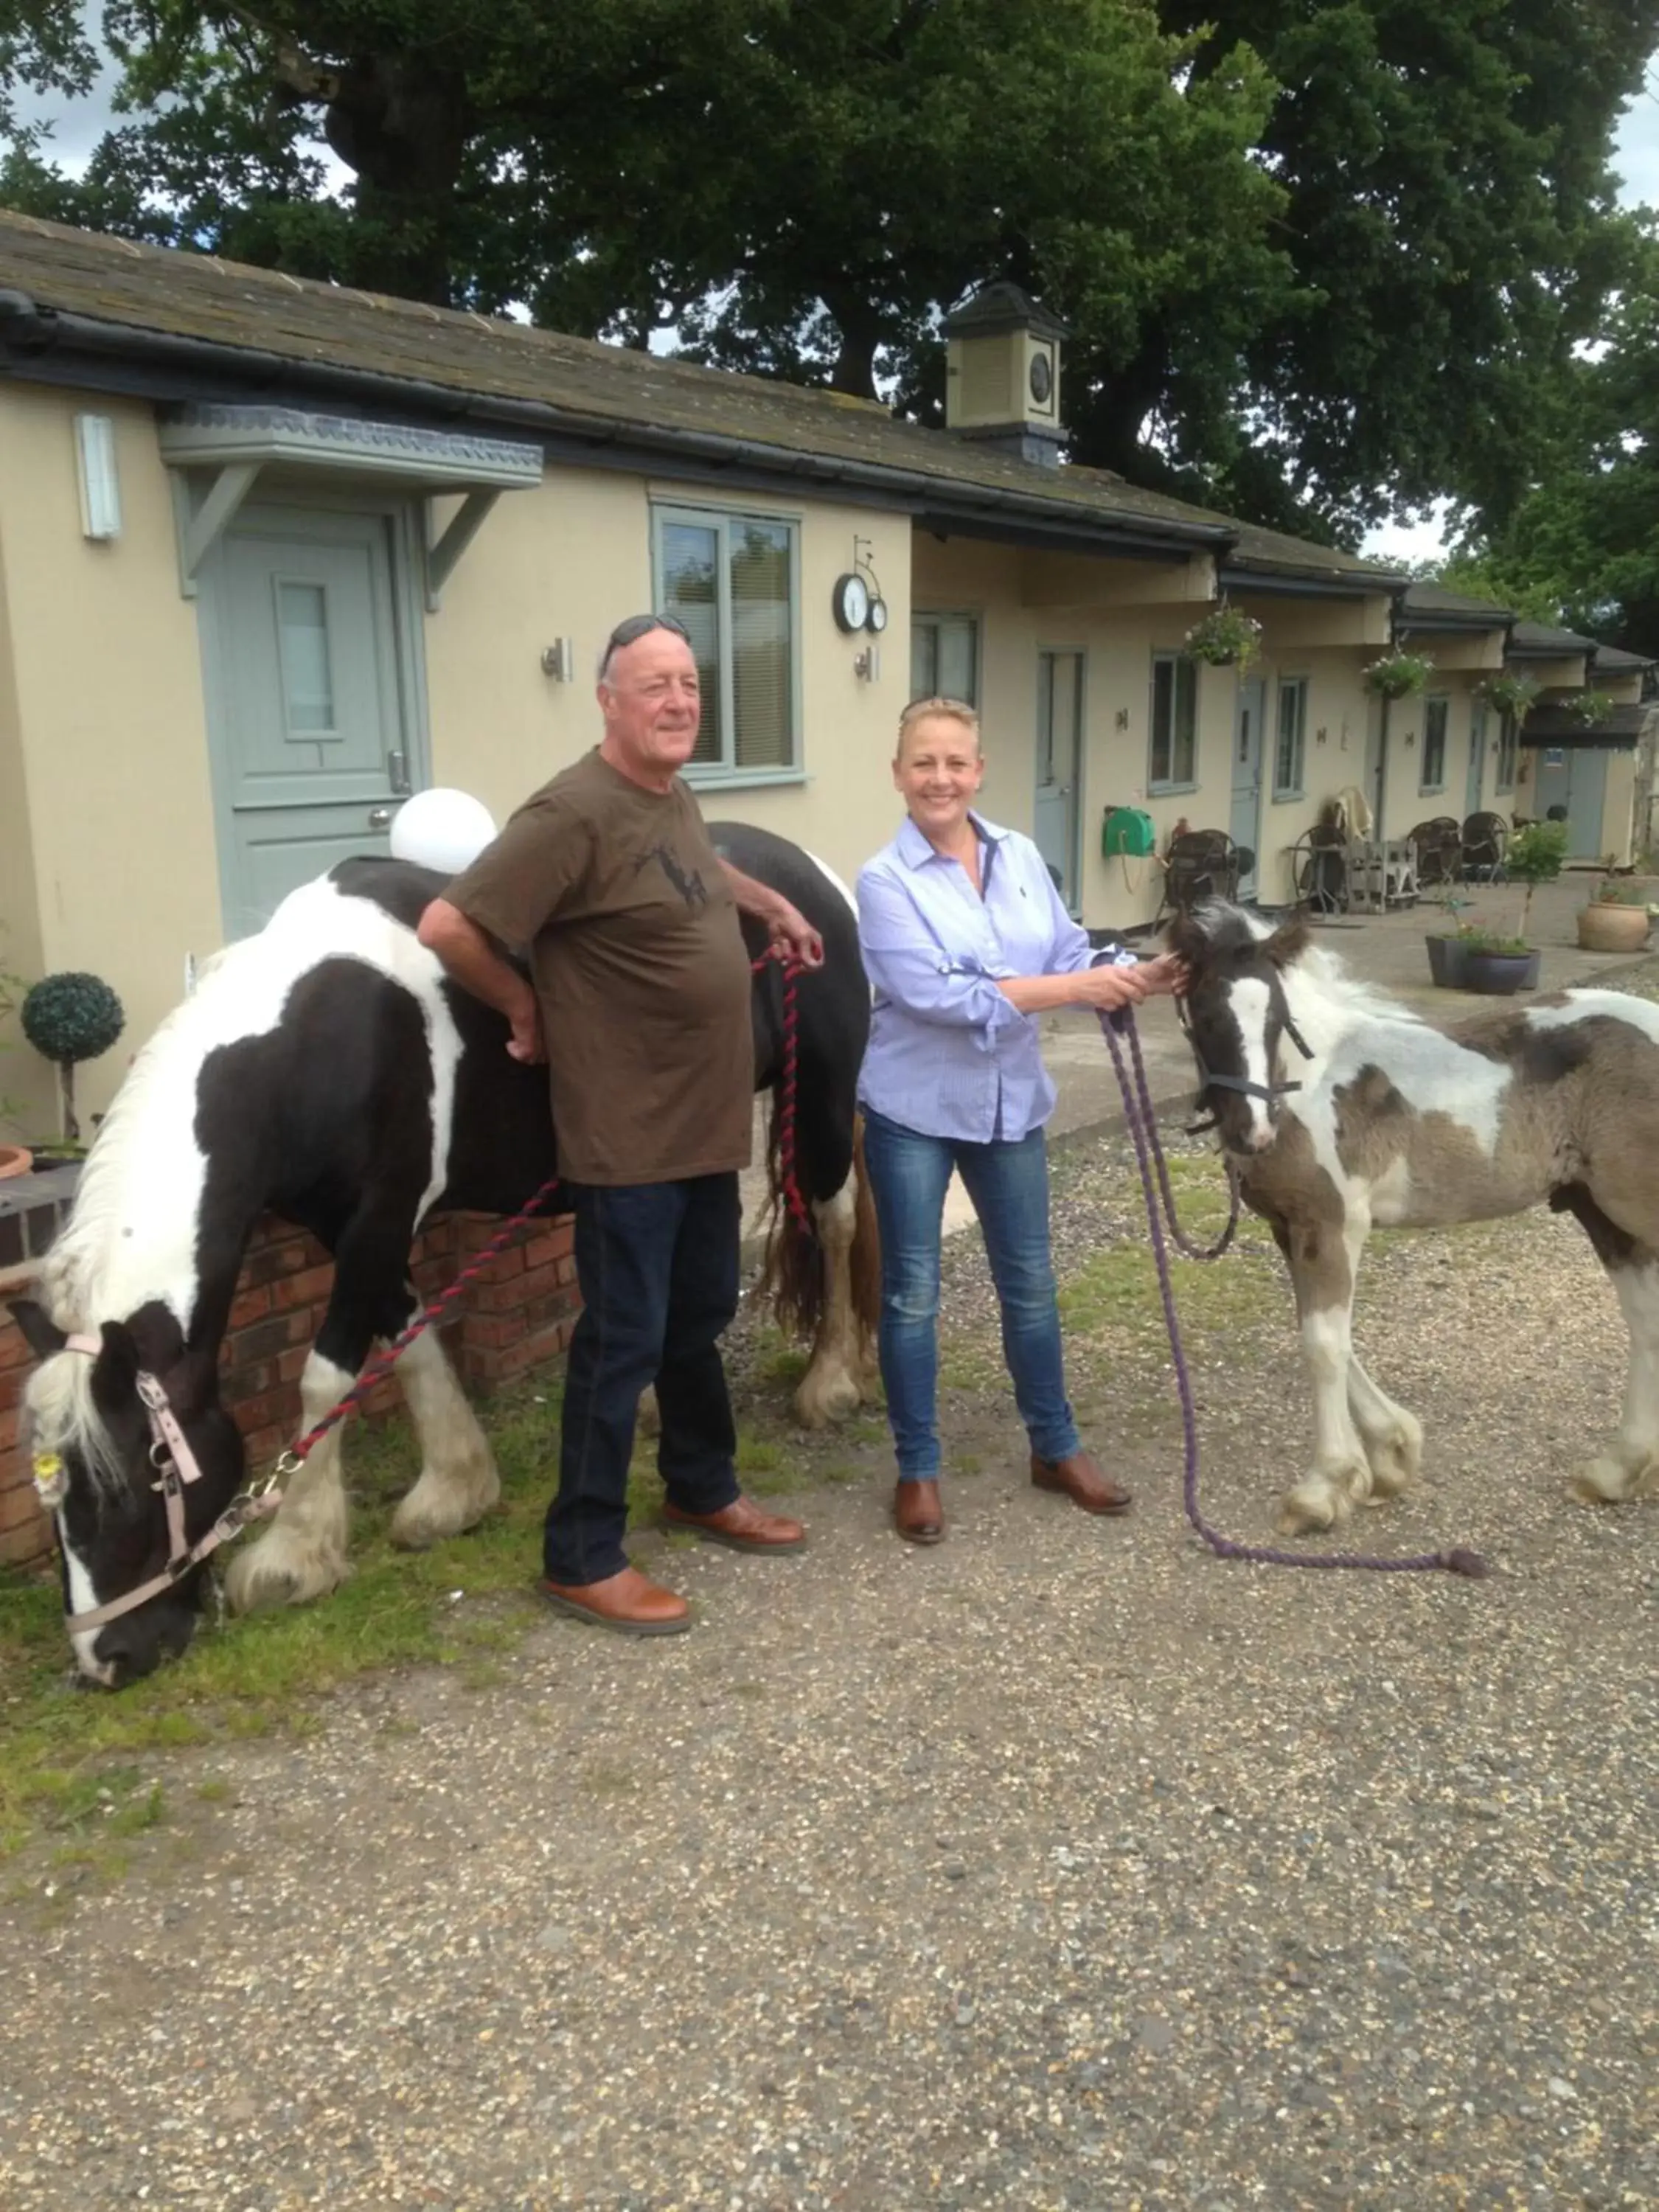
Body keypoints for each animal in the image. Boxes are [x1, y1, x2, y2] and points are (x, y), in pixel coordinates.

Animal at [13, 823, 876, 1681]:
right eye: (51, 1491)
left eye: (129, 1481)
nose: (106, 1659)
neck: (323, 1035)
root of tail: (808, 873)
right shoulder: (350, 1227)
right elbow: (411, 1339)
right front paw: (455, 1492)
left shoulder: (381, 1215)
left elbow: (326, 1378)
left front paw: (292, 1556)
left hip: (822, 1098)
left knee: (835, 1223)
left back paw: (833, 1381)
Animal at [1177, 898, 1659, 1540]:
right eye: (1205, 1014)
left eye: (1277, 1015)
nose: (1251, 1131)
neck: (1312, 1083)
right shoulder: (1292, 1228)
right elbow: (1326, 1333)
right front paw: (1390, 1456)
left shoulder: (1333, 1224)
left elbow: (1323, 1345)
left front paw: (1323, 1489)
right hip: (1603, 1214)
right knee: (1646, 1325)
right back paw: (1616, 1471)